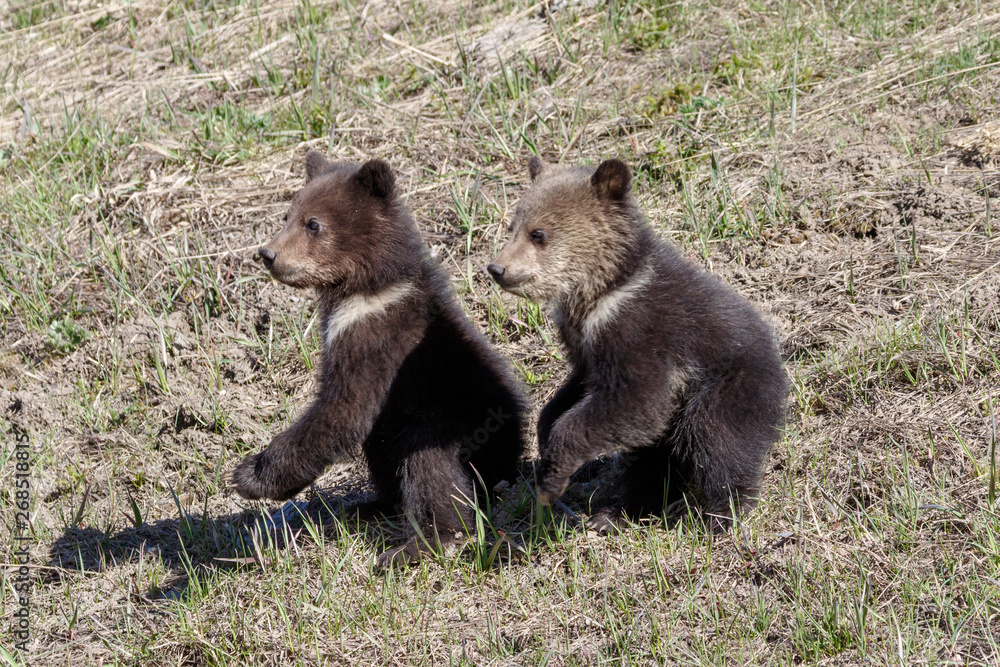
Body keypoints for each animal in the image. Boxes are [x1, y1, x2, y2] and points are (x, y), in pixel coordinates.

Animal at [226, 152, 526, 566]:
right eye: (287, 215)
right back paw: (370, 505)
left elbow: (342, 411)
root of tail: (513, 464)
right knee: (383, 451)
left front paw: (252, 474)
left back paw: (417, 544)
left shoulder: (379, 341)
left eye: (313, 223)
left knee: (430, 466)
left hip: (460, 426)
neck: (366, 289)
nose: (268, 254)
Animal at [487, 157, 787, 529]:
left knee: (717, 438)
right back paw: (617, 511)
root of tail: (780, 369)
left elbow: (637, 402)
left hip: (729, 386)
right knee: (652, 458)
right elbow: (577, 390)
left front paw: (554, 473)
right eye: (513, 225)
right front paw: (544, 432)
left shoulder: (642, 333)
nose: (496, 268)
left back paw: (721, 512)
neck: (601, 292)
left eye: (538, 233)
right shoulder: (585, 346)